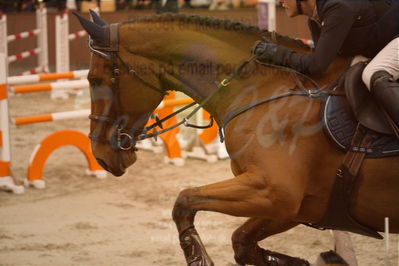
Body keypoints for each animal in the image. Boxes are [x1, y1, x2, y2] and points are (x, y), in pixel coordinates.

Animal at [76, 11, 399, 266]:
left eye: (95, 79)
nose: (100, 154)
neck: (264, 88)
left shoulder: (274, 191)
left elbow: (185, 200)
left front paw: (199, 258)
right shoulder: (302, 205)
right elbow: (241, 243)